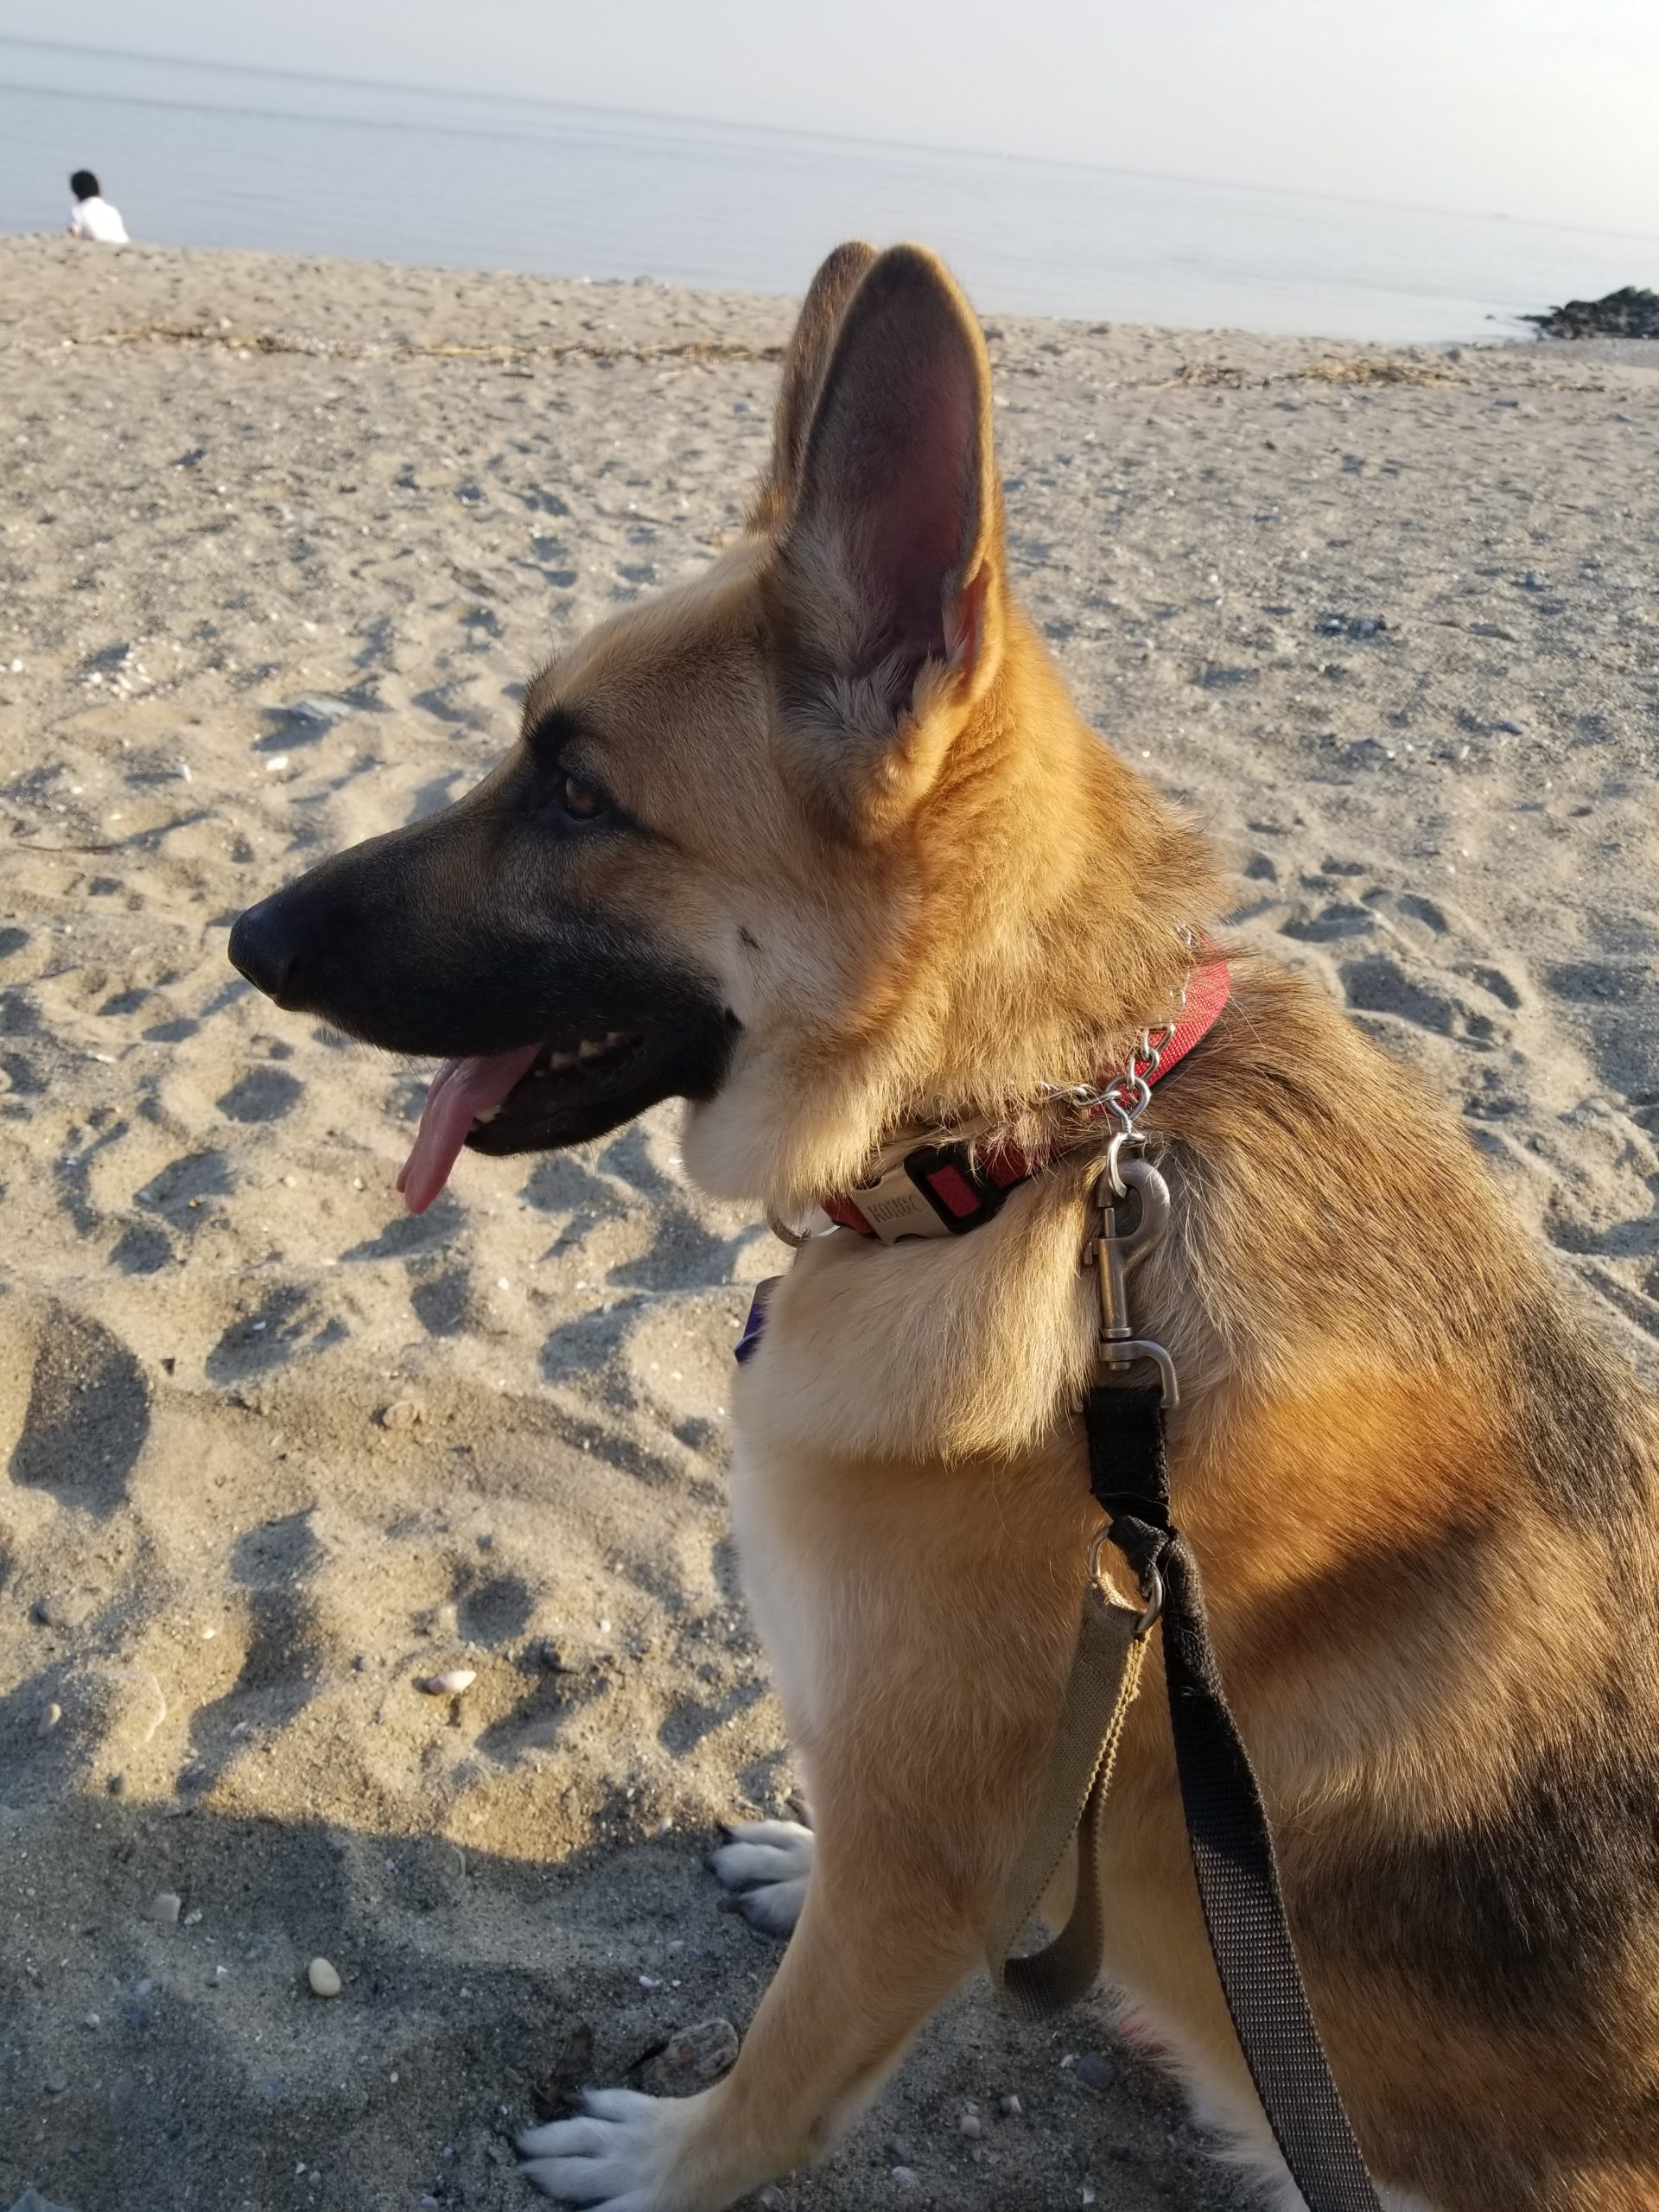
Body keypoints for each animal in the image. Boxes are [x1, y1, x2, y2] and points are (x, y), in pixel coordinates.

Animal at [230, 241, 1659, 2212]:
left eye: (580, 794)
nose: (248, 940)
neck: (1025, 1148)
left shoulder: (914, 1870)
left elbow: (777, 2074)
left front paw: (668, 2162)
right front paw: (779, 1847)